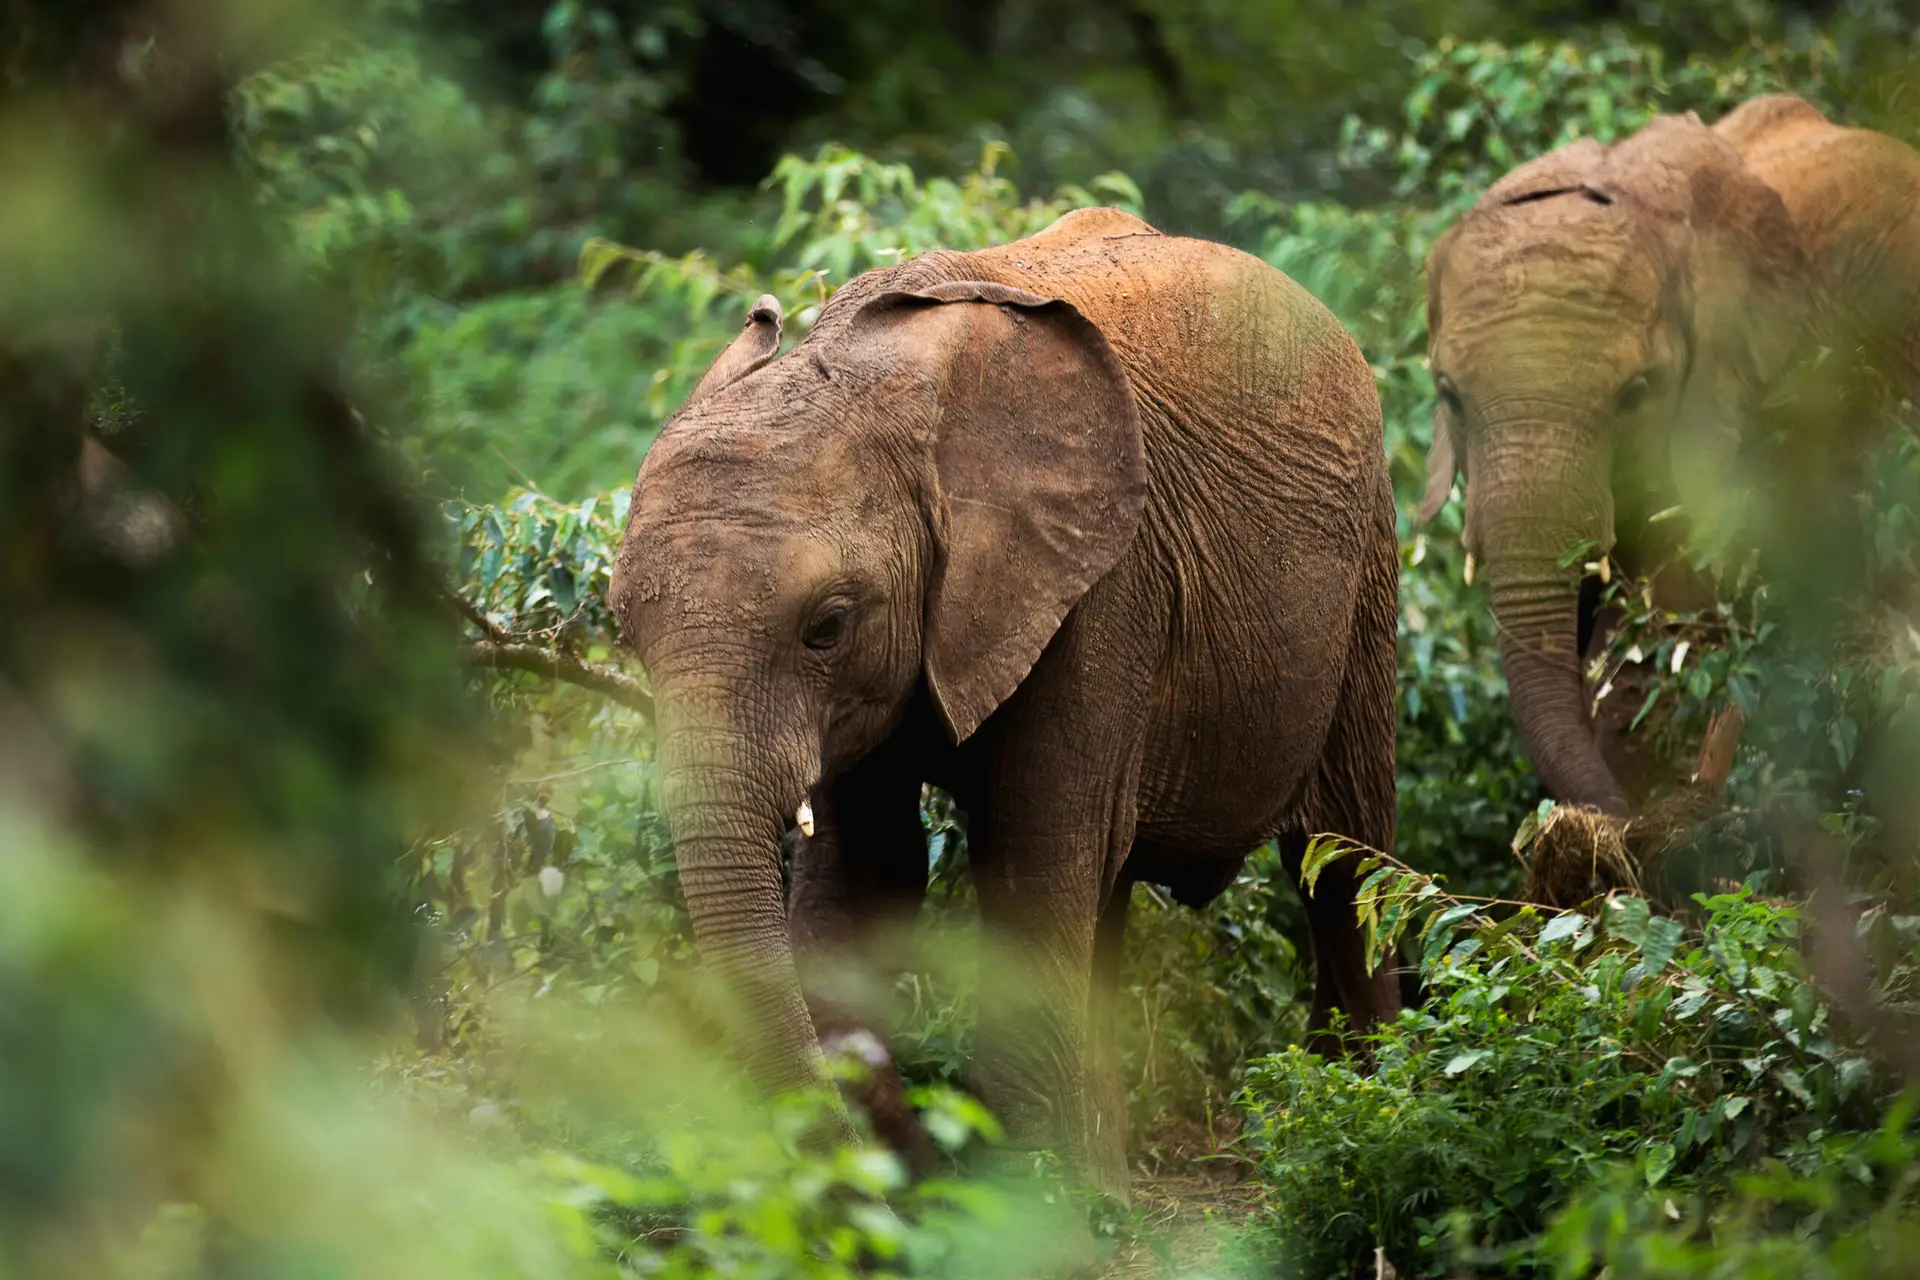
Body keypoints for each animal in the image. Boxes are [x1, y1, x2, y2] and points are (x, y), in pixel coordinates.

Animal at [608, 206, 1400, 1202]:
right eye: (621, 632)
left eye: (827, 626)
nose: (901, 1154)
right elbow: (869, 872)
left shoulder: (1101, 587)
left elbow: (1029, 858)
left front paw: (1030, 1204)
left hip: (1367, 569)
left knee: (1344, 860)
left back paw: (1358, 1113)